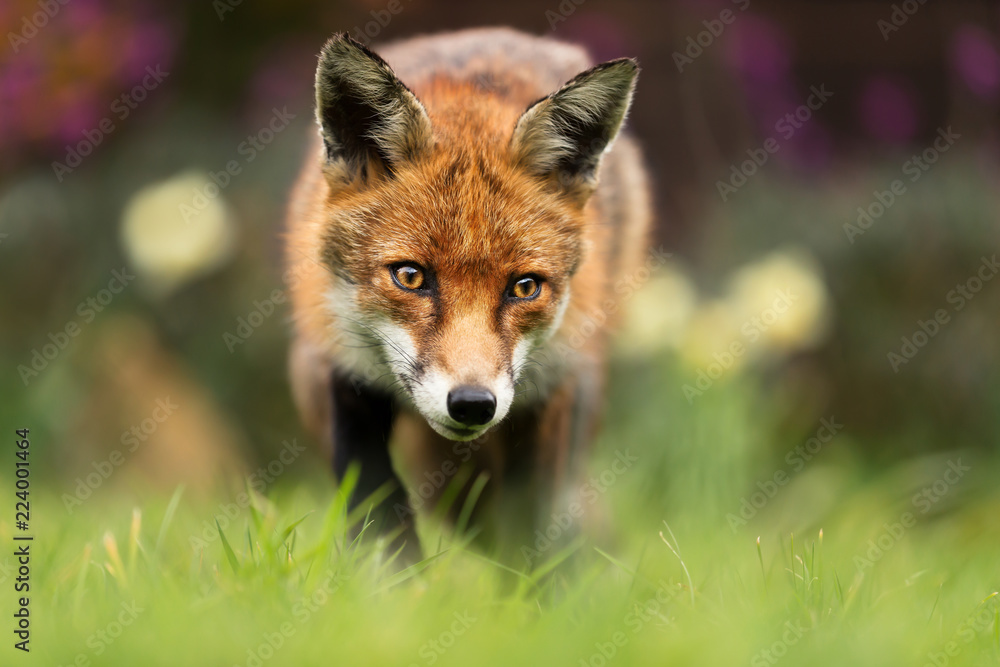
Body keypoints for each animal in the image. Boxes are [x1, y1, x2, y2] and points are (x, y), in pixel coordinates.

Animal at [286, 27, 652, 564]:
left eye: (524, 287)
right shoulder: (339, 372)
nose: (473, 404)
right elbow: (378, 512)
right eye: (411, 277)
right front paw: (398, 583)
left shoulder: (551, 393)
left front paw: (537, 587)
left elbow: (531, 525)